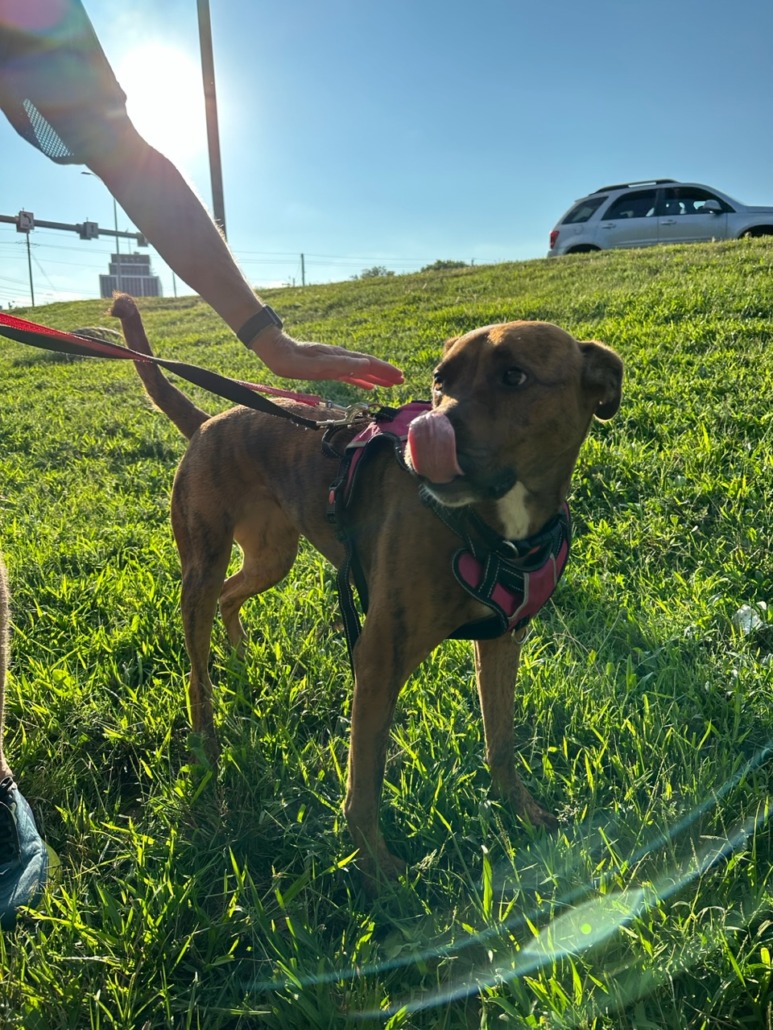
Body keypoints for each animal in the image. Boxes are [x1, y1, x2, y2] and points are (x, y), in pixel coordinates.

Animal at [111, 294, 623, 887]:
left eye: (514, 376)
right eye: (440, 379)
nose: (429, 428)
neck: (500, 530)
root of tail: (209, 420)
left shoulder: (501, 641)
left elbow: (501, 741)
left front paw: (523, 811)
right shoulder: (380, 656)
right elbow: (364, 785)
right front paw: (380, 871)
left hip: (271, 558)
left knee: (231, 596)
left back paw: (239, 653)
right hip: (203, 563)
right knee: (198, 670)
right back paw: (208, 750)